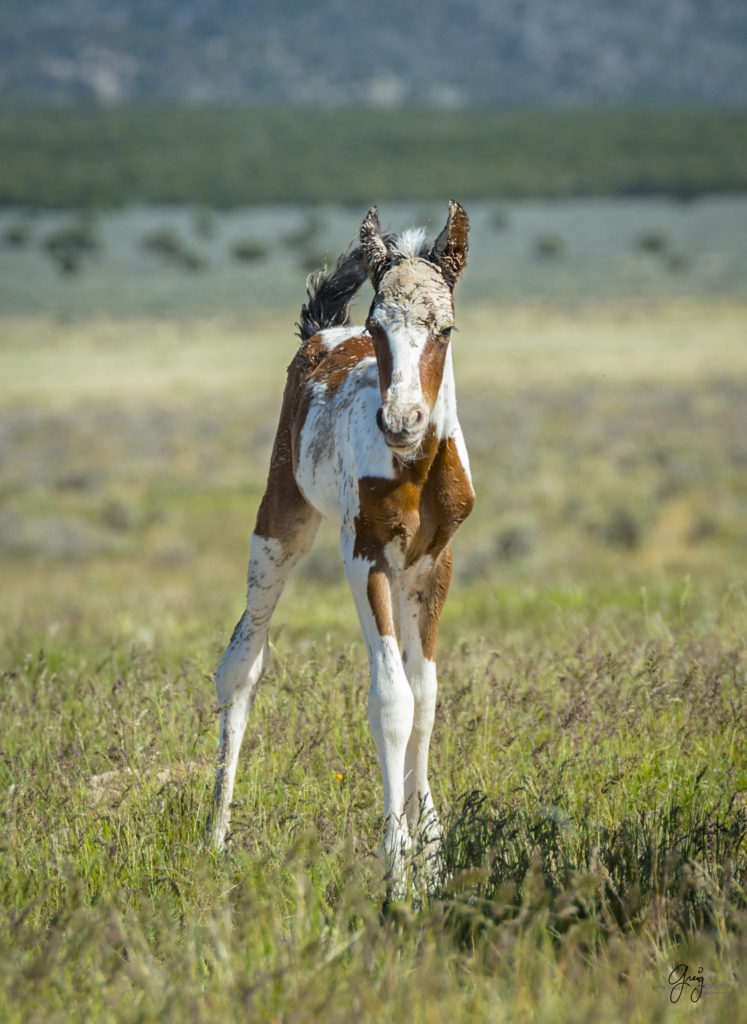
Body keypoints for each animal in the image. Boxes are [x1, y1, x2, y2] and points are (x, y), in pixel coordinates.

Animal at [204, 199, 471, 888]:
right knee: (241, 661)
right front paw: (397, 866)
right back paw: (214, 838)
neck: (415, 469)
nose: (401, 422)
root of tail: (321, 334)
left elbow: (426, 696)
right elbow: (391, 700)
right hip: (281, 524)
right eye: (378, 327)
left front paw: (433, 859)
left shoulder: (434, 564)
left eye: (445, 328)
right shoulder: (365, 556)